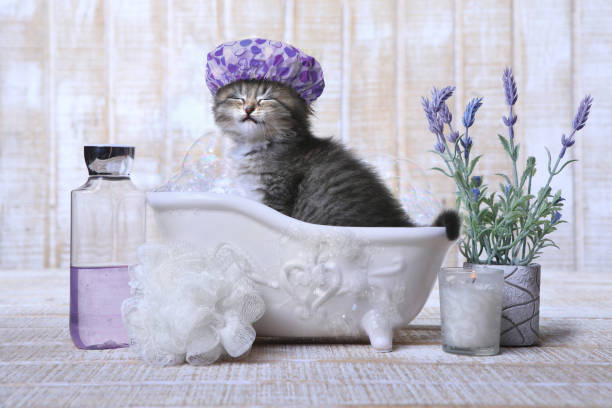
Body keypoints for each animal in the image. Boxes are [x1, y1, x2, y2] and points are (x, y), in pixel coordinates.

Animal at [213, 79, 456, 239]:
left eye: (266, 98)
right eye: (237, 97)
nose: (248, 108)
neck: (261, 144)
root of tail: (399, 224)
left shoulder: (277, 196)